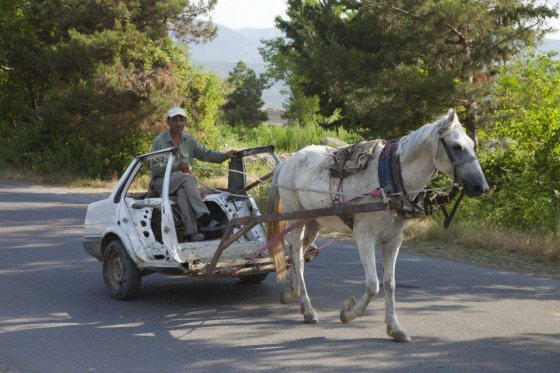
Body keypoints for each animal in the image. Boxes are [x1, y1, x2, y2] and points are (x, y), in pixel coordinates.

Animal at [264, 107, 488, 340]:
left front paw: (395, 327)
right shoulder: (364, 237)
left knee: (295, 252)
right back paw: (308, 309)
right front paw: (348, 313)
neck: (390, 179)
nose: (481, 187)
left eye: (472, 145)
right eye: (456, 146)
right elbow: (373, 285)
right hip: (296, 217)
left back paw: (292, 291)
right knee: (297, 257)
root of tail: (286, 162)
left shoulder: (393, 240)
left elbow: (390, 284)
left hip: (314, 222)